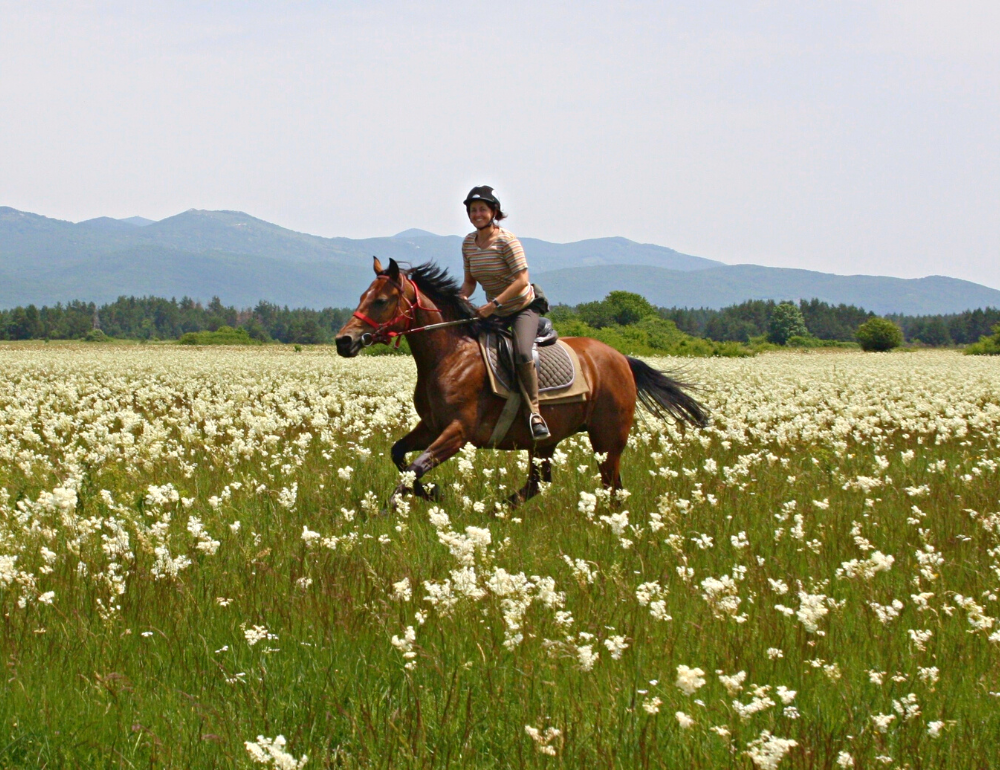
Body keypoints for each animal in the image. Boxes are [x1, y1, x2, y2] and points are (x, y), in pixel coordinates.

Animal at [338, 258, 712, 504]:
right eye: (361, 297)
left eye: (381, 300)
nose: (344, 341)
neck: (450, 354)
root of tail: (621, 358)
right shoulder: (431, 426)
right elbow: (400, 455)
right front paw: (432, 493)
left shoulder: (457, 431)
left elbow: (415, 467)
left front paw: (393, 507)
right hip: (547, 442)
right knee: (540, 482)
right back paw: (498, 509)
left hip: (607, 439)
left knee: (612, 486)